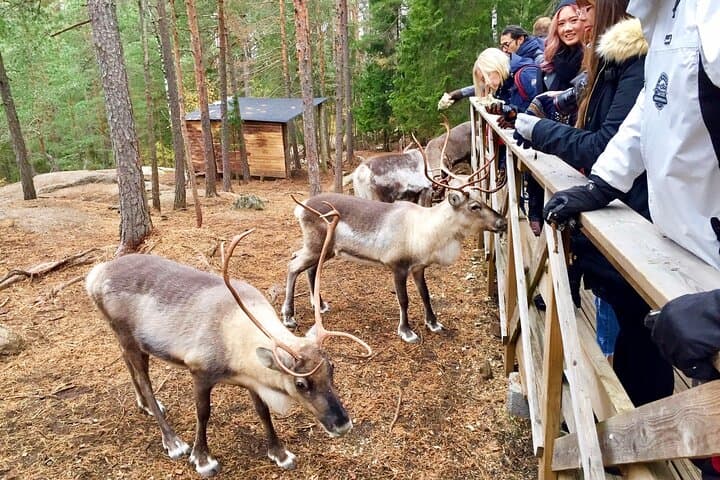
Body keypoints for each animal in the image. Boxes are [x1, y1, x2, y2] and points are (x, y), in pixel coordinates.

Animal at [85, 206, 371, 477]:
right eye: (301, 383)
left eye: (332, 369)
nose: (343, 424)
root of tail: (94, 275)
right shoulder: (199, 370)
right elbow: (203, 413)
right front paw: (202, 459)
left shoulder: (253, 378)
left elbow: (262, 411)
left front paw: (280, 454)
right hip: (126, 334)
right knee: (144, 380)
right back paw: (173, 441)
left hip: (132, 339)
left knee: (128, 364)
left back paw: (145, 406)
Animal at [282, 124, 507, 343]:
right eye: (474, 206)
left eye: (483, 200)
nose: (503, 222)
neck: (426, 231)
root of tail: (301, 207)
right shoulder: (397, 266)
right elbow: (404, 299)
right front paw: (406, 331)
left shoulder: (419, 267)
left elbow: (426, 294)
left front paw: (433, 323)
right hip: (316, 246)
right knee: (293, 265)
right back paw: (289, 317)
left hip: (326, 249)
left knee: (308, 267)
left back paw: (319, 305)